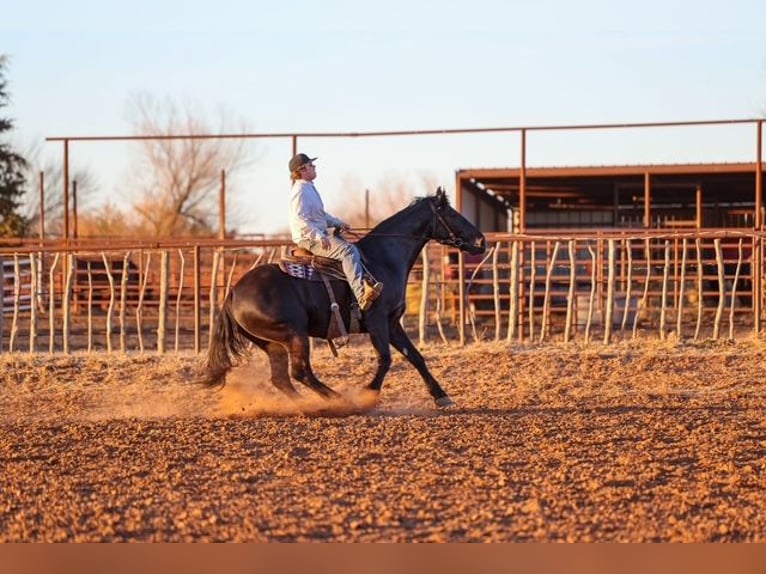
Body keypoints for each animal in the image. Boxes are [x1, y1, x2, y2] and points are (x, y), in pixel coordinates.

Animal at [201, 187, 486, 408]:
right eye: (451, 213)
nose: (481, 240)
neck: (383, 257)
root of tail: (233, 293)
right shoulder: (376, 320)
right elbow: (386, 359)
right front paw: (368, 395)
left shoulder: (393, 322)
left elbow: (415, 356)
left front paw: (442, 396)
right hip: (294, 334)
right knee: (300, 372)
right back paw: (338, 400)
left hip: (272, 343)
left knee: (282, 378)